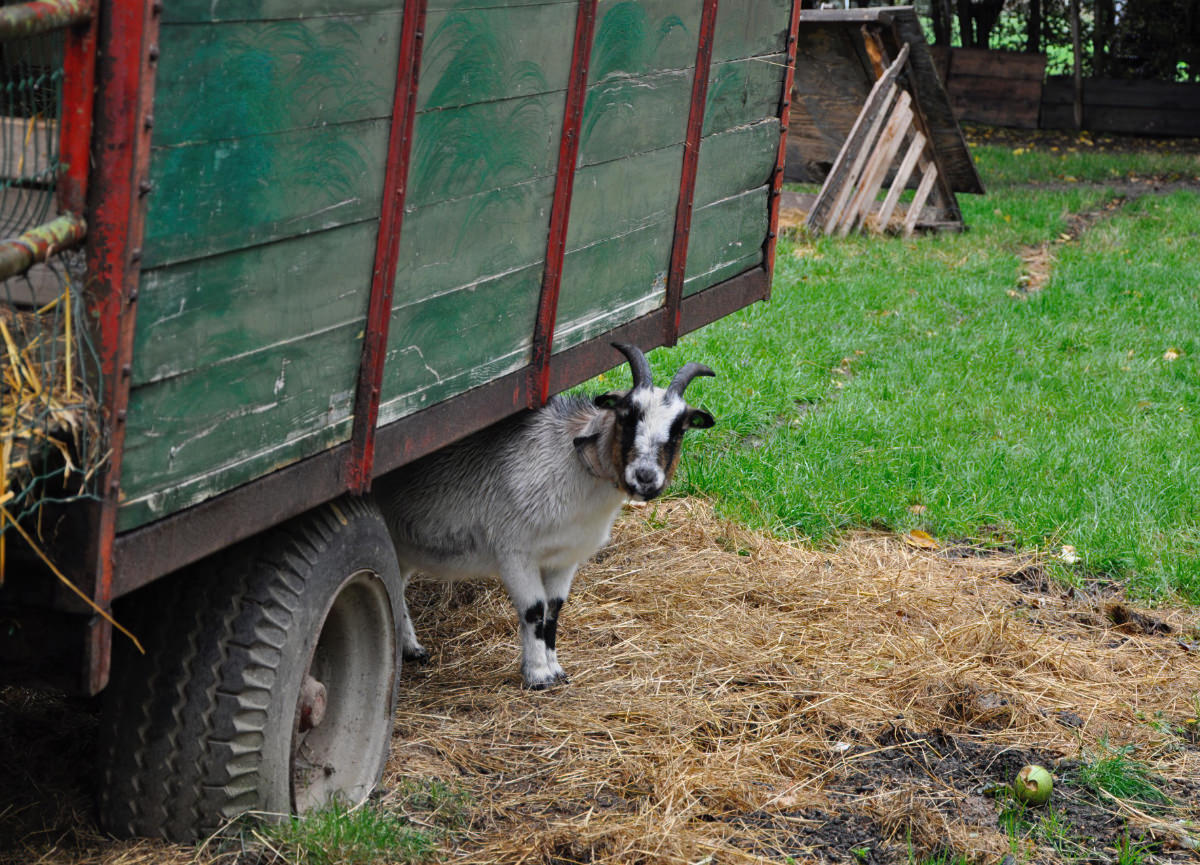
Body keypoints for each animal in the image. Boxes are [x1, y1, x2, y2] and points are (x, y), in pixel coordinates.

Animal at [374, 340, 710, 686]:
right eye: (627, 416)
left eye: (679, 430)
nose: (645, 477)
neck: (572, 467)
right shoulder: (514, 551)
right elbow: (534, 611)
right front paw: (538, 676)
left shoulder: (565, 557)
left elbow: (554, 610)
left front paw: (556, 670)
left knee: (397, 586)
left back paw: (411, 648)